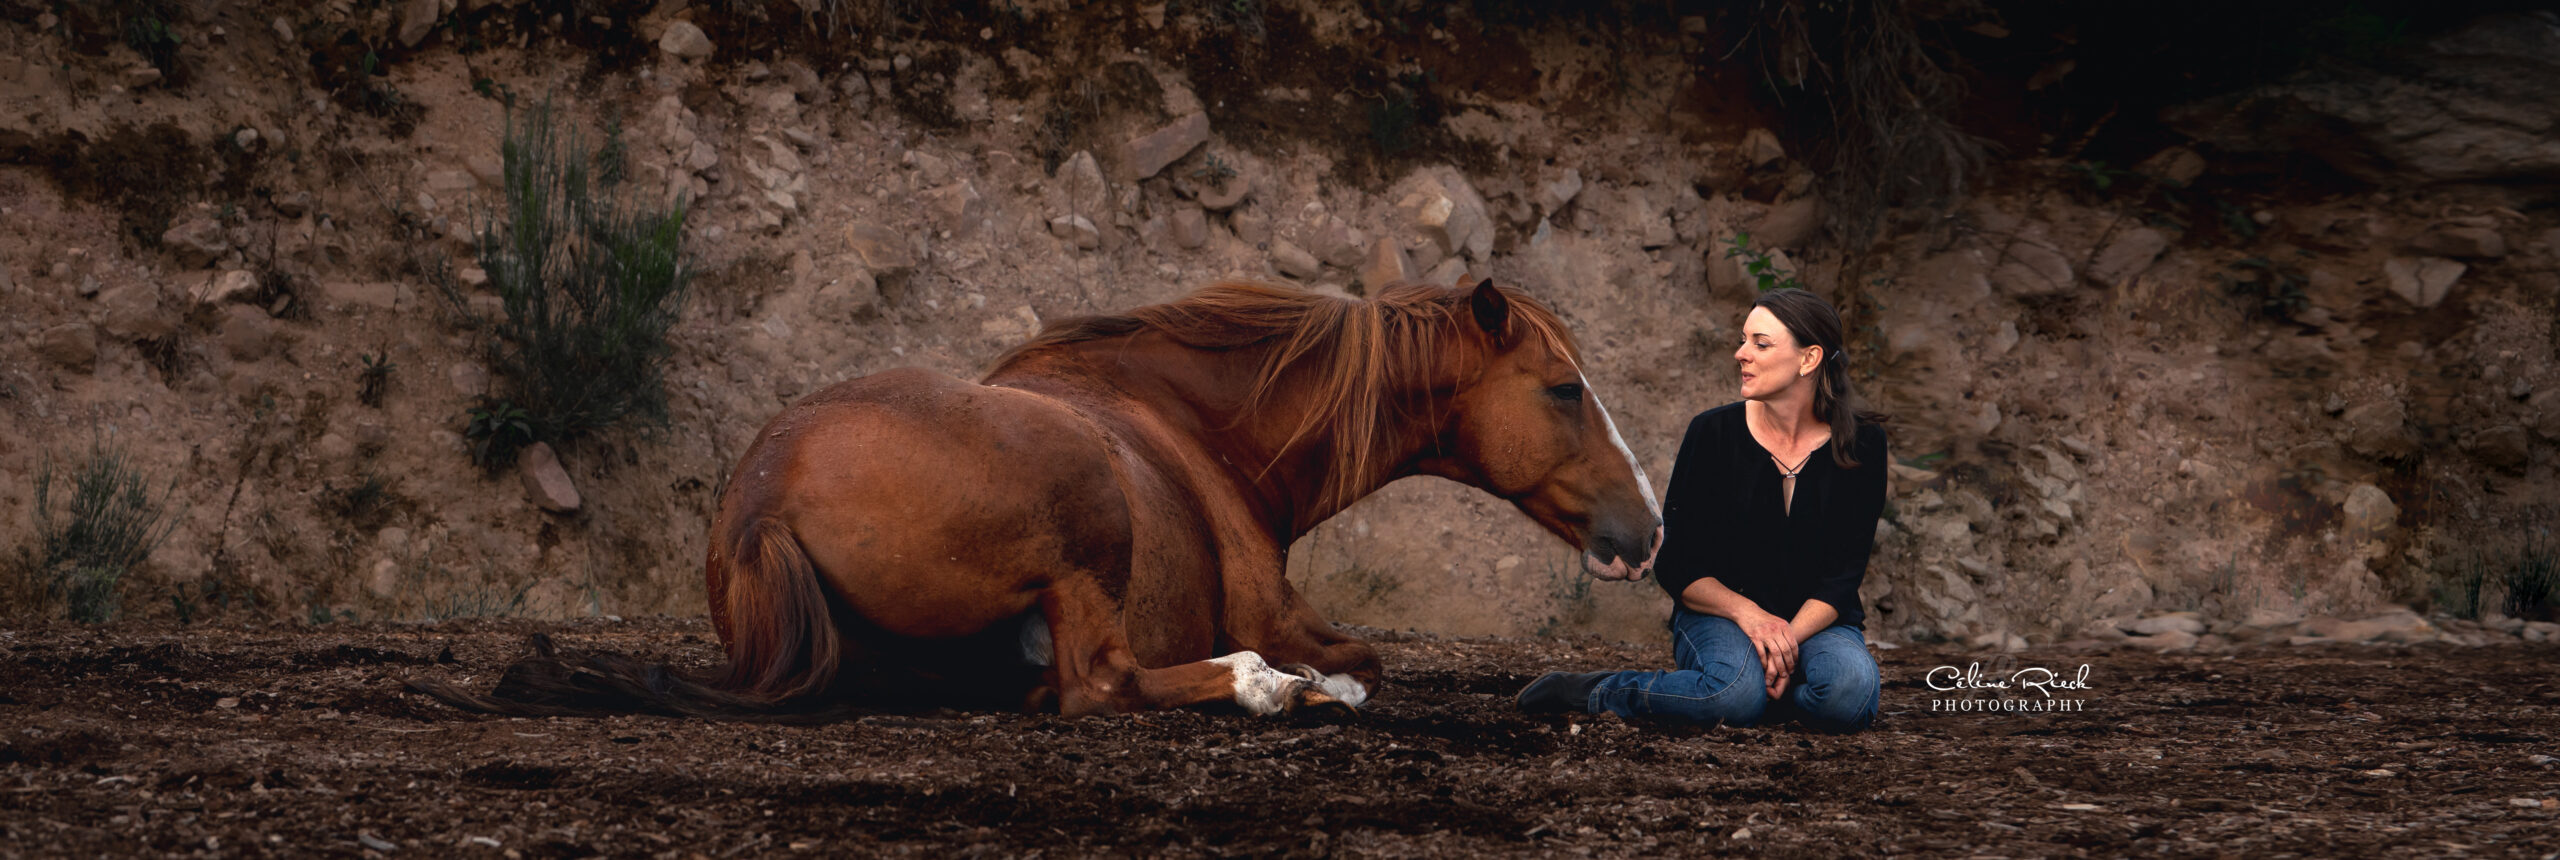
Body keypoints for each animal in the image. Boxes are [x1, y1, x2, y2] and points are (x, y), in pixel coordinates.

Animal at [417, 278, 1660, 718]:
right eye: (1563, 387)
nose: (1644, 530)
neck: (1194, 423)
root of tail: (763, 498)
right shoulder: (1281, 609)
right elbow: (1362, 658)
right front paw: (1314, 683)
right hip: (1085, 533)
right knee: (1099, 682)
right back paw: (1265, 689)